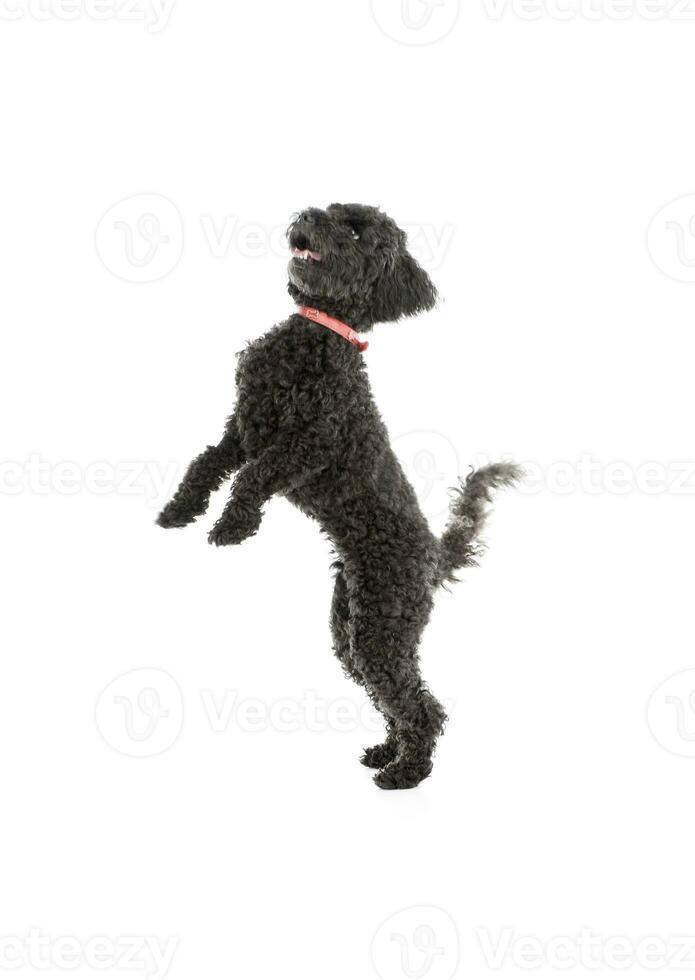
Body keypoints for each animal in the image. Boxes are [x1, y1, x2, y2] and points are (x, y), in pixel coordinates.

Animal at [156, 205, 516, 788]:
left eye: (353, 231)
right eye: (331, 211)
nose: (306, 215)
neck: (317, 337)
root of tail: (432, 557)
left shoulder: (310, 445)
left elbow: (252, 477)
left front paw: (232, 527)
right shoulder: (244, 427)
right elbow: (207, 462)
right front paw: (179, 510)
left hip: (380, 629)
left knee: (421, 707)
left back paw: (405, 773)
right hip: (351, 627)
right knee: (396, 701)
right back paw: (385, 752)